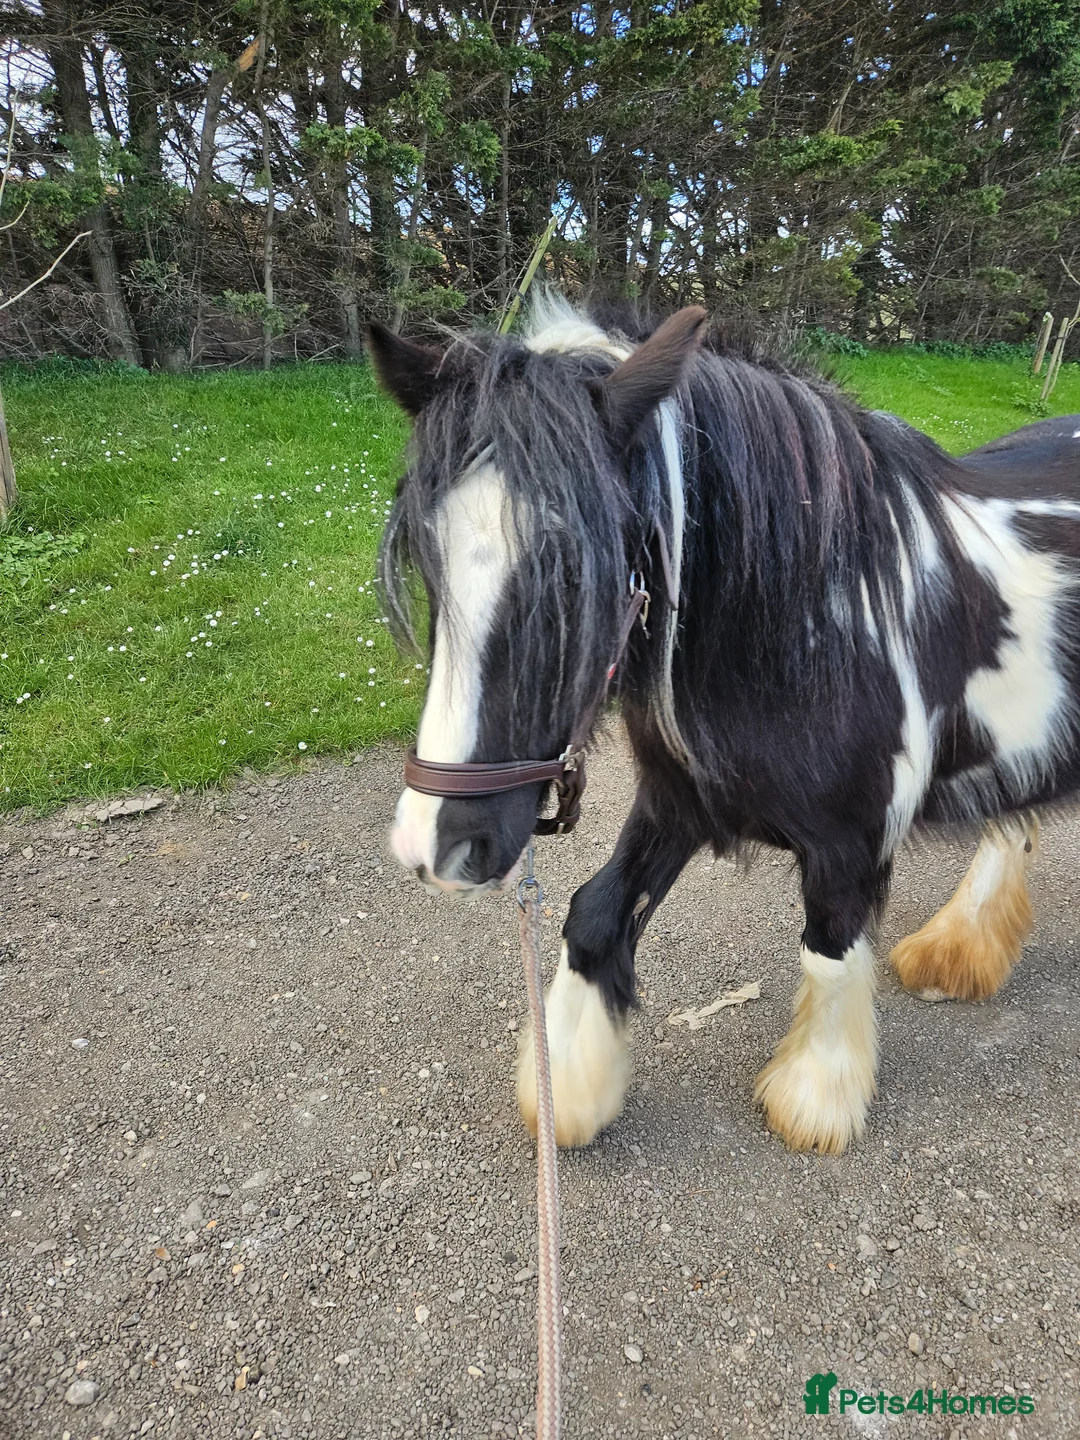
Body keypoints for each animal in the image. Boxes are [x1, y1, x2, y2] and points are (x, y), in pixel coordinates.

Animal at [368, 295, 1080, 1155]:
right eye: (426, 555)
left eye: (578, 571)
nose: (433, 844)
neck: (811, 621)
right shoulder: (678, 802)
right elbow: (595, 914)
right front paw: (568, 1088)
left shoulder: (850, 845)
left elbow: (829, 950)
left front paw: (814, 1100)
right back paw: (961, 948)